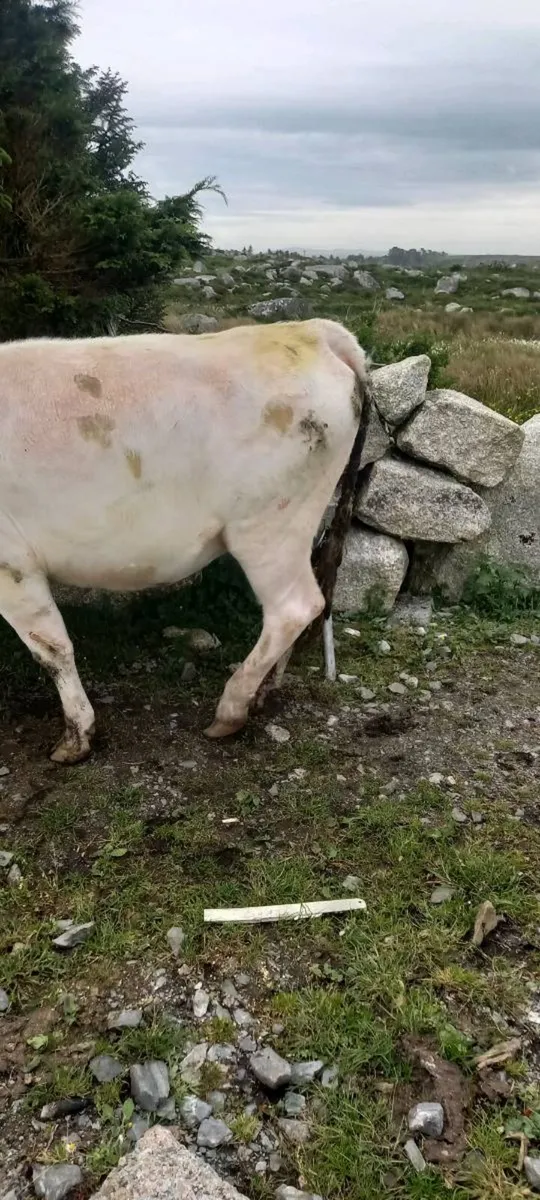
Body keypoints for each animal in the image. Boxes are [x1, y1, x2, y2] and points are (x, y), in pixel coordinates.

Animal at [0, 318, 369, 763]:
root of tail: (311, 331)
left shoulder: (11, 562)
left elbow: (51, 647)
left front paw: (76, 738)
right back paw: (264, 692)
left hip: (269, 524)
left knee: (294, 607)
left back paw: (231, 710)